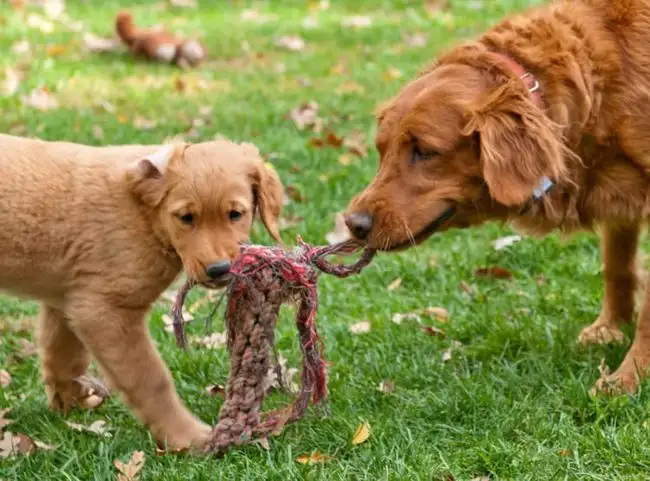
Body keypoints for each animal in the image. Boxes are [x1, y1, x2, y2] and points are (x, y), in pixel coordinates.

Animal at [0, 135, 284, 450]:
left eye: (235, 214)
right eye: (186, 217)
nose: (219, 269)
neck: (144, 215)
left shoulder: (68, 298)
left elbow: (63, 357)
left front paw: (70, 404)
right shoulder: (104, 310)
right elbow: (151, 379)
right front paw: (187, 437)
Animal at [344, 0, 650, 392]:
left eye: (424, 151)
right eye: (381, 150)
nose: (353, 224)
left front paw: (628, 378)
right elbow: (617, 266)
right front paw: (609, 329)